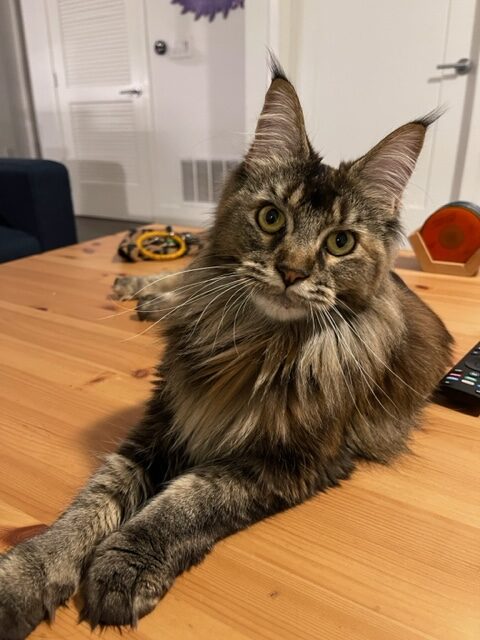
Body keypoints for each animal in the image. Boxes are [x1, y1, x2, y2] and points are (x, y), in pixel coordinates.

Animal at [0, 61, 454, 640]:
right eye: (271, 218)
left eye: (340, 243)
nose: (292, 272)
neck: (255, 344)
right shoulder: (162, 422)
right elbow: (89, 505)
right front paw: (25, 576)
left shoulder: (292, 460)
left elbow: (186, 500)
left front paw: (124, 564)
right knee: (177, 279)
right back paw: (141, 292)